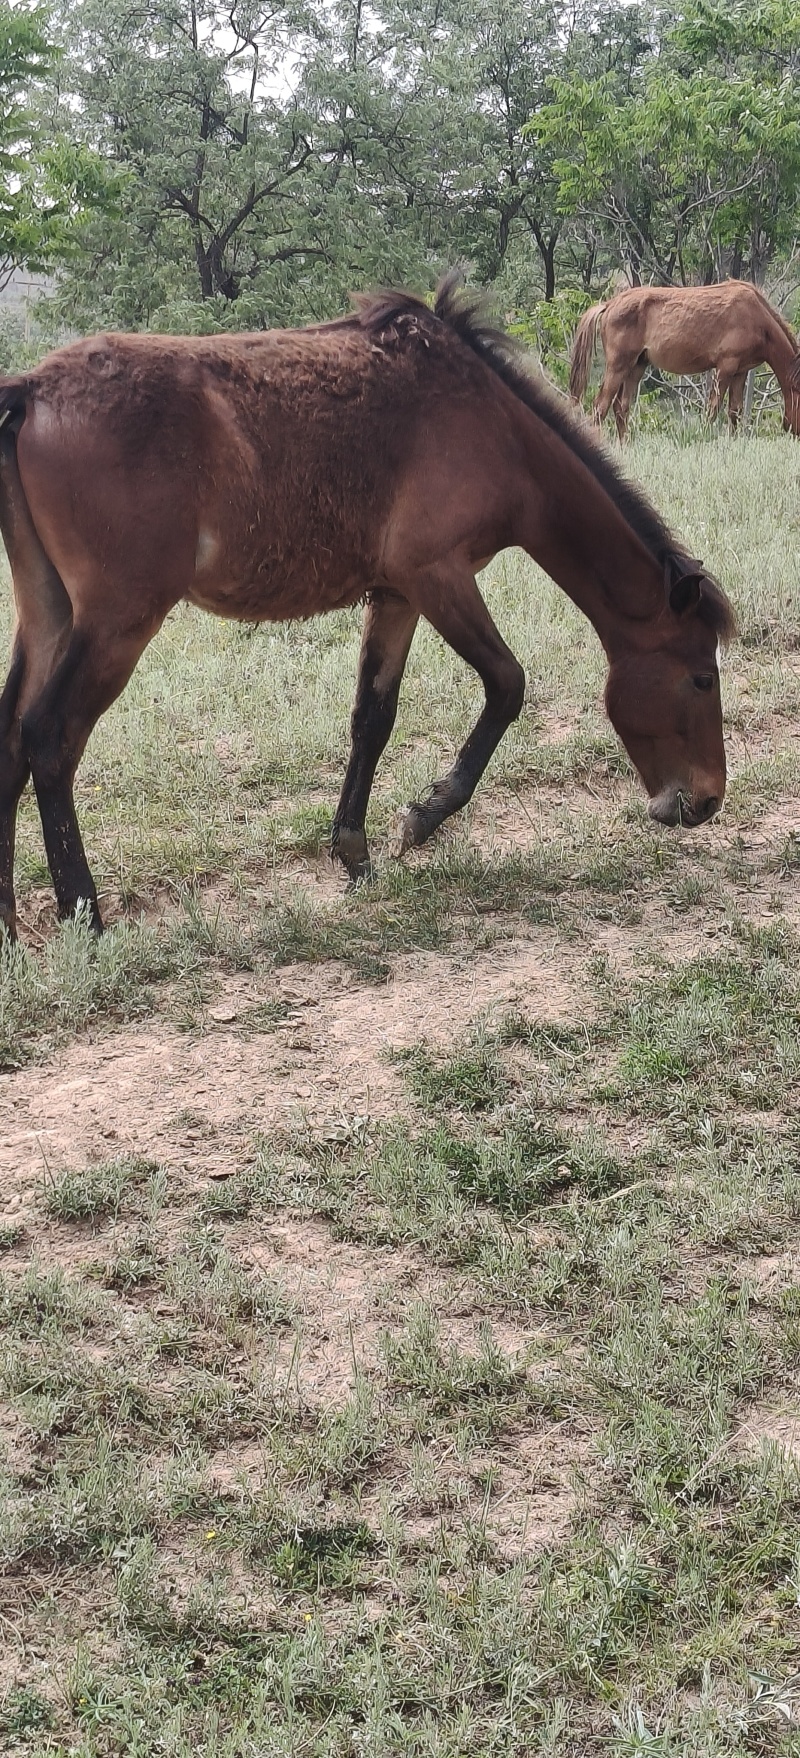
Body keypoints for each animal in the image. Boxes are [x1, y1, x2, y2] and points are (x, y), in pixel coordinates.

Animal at [0, 272, 734, 939]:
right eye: (701, 677)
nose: (704, 801)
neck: (494, 428)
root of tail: (31, 392)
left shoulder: (397, 595)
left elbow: (373, 717)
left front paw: (354, 852)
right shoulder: (437, 577)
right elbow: (506, 685)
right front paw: (424, 817)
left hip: (50, 616)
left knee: (11, 738)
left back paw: (9, 922)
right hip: (117, 623)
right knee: (51, 738)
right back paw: (86, 916)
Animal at [569, 281, 800, 440]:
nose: (794, 432)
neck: (755, 318)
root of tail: (609, 304)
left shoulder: (740, 371)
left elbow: (734, 410)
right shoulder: (726, 367)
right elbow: (713, 408)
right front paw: (704, 437)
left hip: (636, 367)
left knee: (620, 407)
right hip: (618, 366)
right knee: (600, 407)